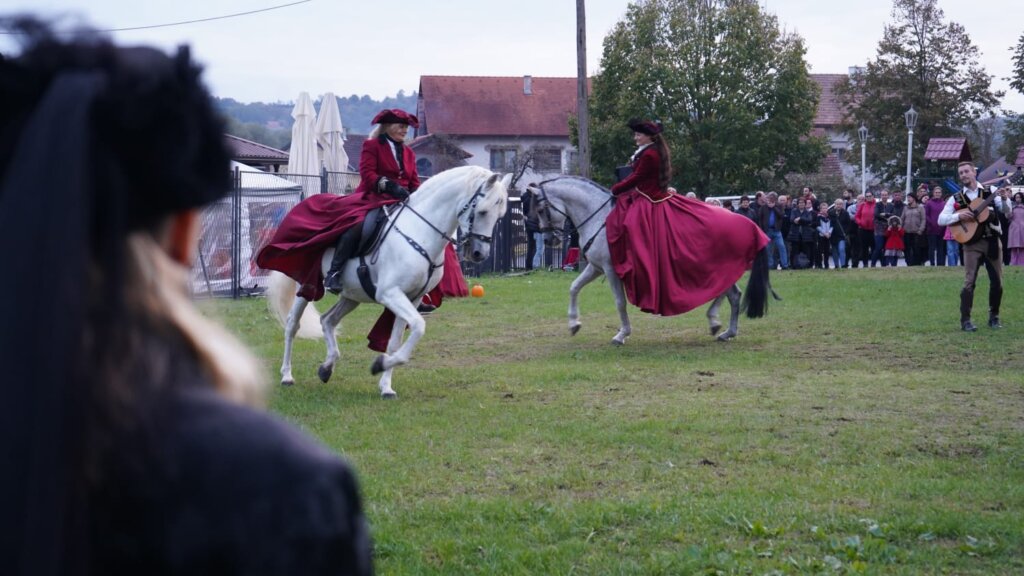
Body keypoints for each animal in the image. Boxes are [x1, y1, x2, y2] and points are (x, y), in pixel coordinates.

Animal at [266, 166, 509, 393]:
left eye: (499, 216)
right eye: (483, 212)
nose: (479, 254)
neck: (419, 232)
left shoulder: (412, 298)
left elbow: (395, 342)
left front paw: (386, 384)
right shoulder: (391, 294)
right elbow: (419, 326)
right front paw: (379, 366)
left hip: (351, 295)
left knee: (328, 320)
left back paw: (327, 367)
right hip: (307, 285)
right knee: (292, 325)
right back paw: (287, 375)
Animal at [524, 177, 770, 342]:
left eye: (541, 209)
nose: (549, 239)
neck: (599, 218)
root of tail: (750, 224)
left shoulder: (611, 270)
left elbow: (619, 302)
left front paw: (621, 334)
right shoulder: (595, 267)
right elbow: (574, 287)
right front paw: (574, 324)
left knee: (728, 293)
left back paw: (716, 322)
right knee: (733, 295)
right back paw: (725, 329)